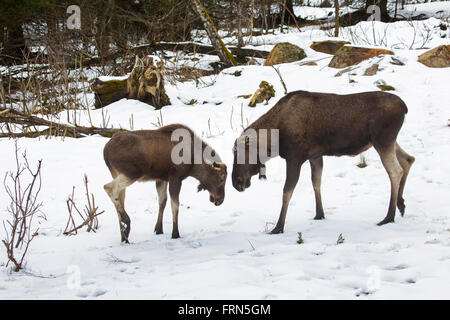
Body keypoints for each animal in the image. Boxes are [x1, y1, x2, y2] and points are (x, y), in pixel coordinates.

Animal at [232, 90, 414, 232]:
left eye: (237, 152)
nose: (236, 182)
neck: (274, 141)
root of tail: (405, 108)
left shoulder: (294, 158)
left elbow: (287, 192)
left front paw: (278, 227)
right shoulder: (315, 156)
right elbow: (316, 182)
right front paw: (319, 214)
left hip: (382, 140)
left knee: (395, 171)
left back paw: (389, 216)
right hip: (387, 141)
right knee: (408, 159)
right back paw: (401, 204)